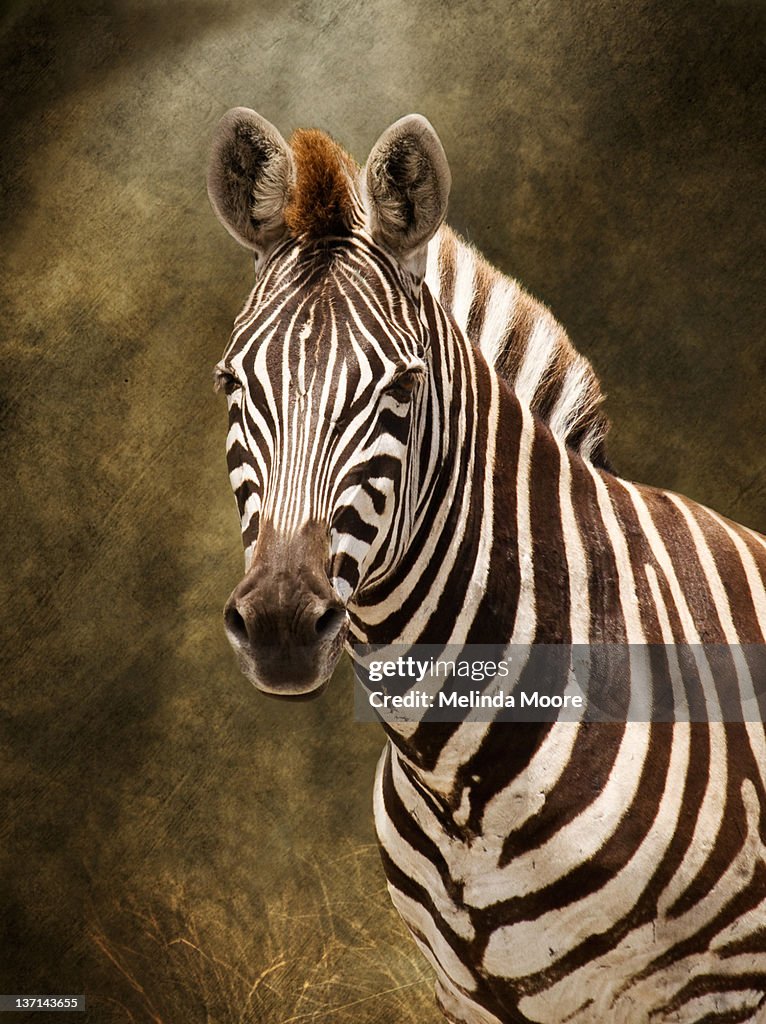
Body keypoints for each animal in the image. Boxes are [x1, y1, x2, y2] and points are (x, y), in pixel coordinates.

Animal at [204, 112, 766, 1024]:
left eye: (400, 391)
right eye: (230, 383)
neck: (457, 775)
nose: (281, 625)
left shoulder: (721, 990)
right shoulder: (463, 998)